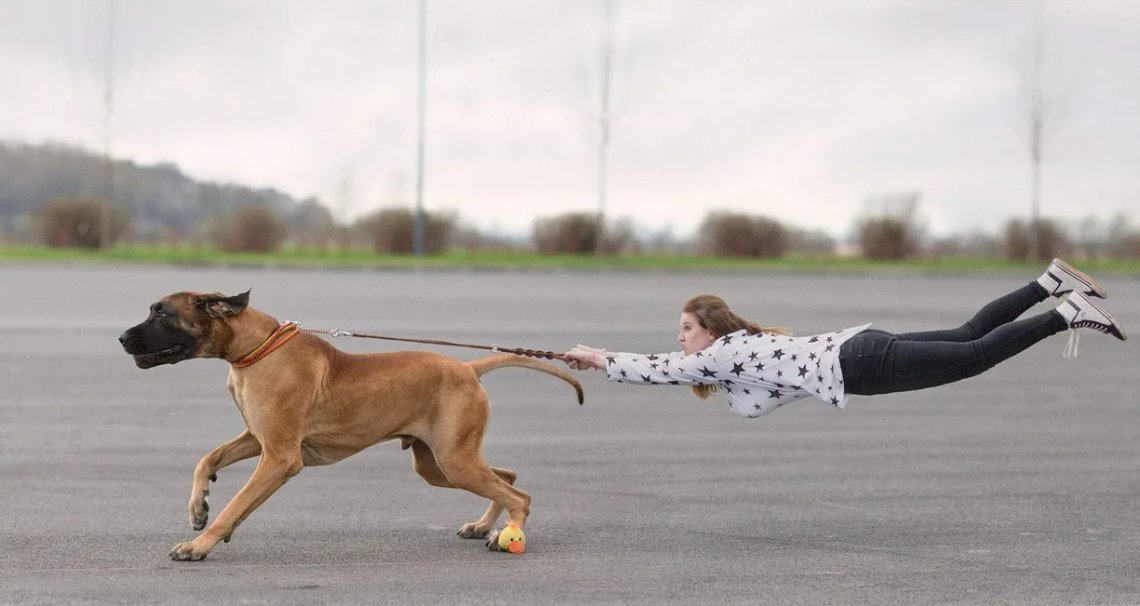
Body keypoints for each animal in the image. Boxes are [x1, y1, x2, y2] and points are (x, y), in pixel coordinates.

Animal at [116, 291, 583, 560]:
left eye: (162, 313)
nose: (121, 338)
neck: (254, 349)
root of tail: (468, 367)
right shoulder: (258, 439)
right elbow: (207, 459)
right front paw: (198, 508)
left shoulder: (279, 457)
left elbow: (236, 505)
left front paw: (200, 544)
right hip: (439, 462)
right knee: (508, 476)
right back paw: (484, 526)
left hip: (453, 459)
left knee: (519, 494)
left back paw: (508, 533)